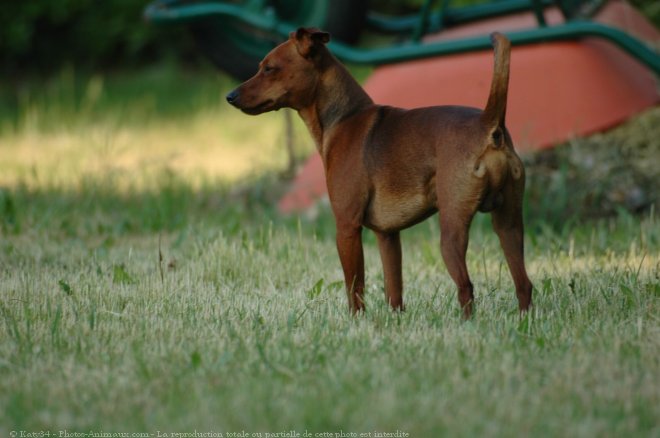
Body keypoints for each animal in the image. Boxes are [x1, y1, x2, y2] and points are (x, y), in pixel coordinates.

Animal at [227, 28, 532, 318]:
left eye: (269, 68)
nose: (230, 96)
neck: (345, 118)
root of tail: (489, 125)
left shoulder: (347, 227)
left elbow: (354, 287)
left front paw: (356, 322)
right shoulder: (387, 235)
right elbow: (393, 289)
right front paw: (394, 323)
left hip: (452, 230)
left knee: (466, 286)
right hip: (509, 225)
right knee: (523, 283)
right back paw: (523, 321)